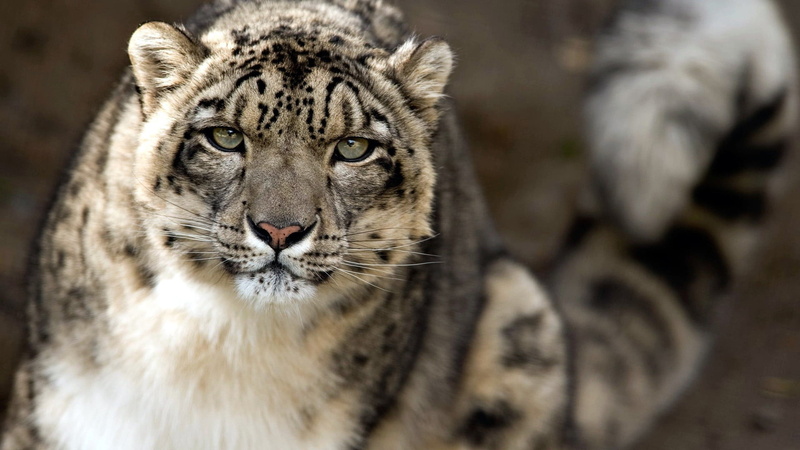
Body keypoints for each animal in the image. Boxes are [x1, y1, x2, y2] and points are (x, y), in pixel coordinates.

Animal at [1, 0, 795, 448]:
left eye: (354, 147)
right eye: (225, 137)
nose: (280, 230)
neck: (217, 348)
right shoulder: (57, 412)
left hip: (521, 331)